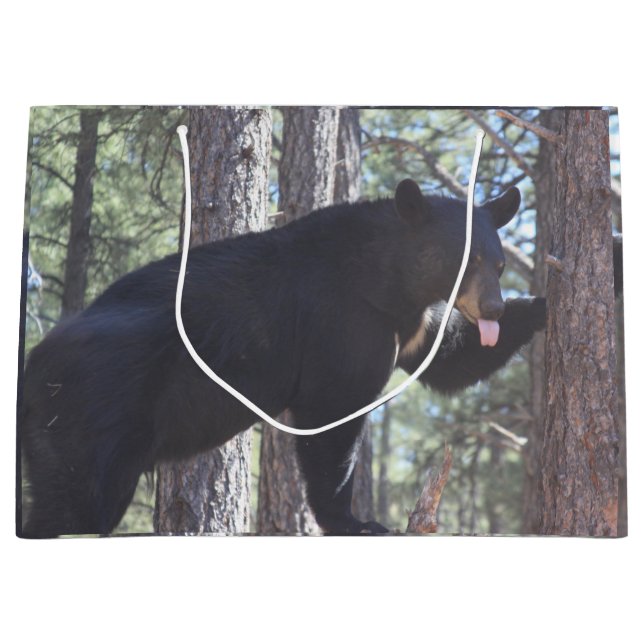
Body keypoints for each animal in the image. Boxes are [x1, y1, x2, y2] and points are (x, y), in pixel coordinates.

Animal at [20, 178, 549, 537]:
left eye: (499, 263)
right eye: (464, 259)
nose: (494, 307)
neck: (388, 281)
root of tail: (33, 364)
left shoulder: (409, 324)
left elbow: (450, 360)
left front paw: (541, 304)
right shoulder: (344, 322)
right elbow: (334, 414)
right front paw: (353, 520)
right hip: (93, 411)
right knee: (81, 499)